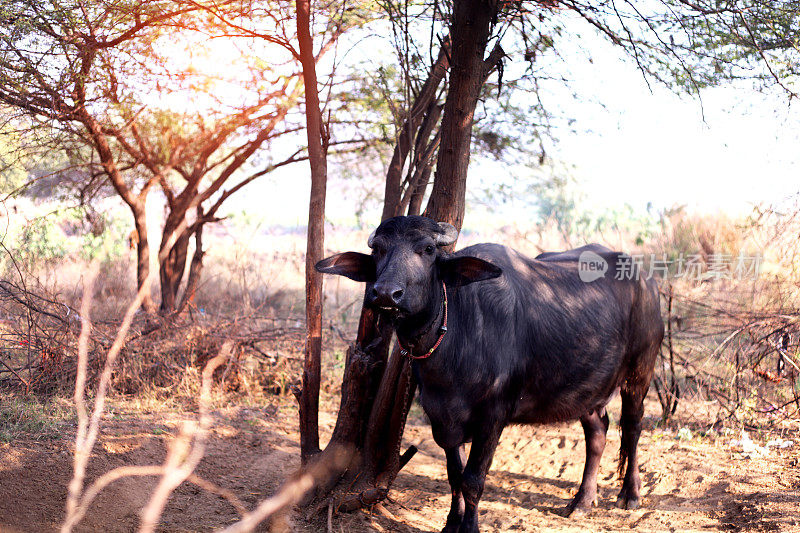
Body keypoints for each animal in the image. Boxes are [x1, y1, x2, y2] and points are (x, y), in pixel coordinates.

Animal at [318, 216, 664, 532]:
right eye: (378, 249)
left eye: (427, 249)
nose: (386, 294)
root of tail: (646, 282)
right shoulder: (442, 418)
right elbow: (454, 476)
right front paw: (451, 524)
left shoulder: (493, 417)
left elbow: (473, 480)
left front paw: (469, 528)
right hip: (585, 387)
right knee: (597, 432)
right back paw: (582, 501)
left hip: (640, 371)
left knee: (632, 425)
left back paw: (630, 494)